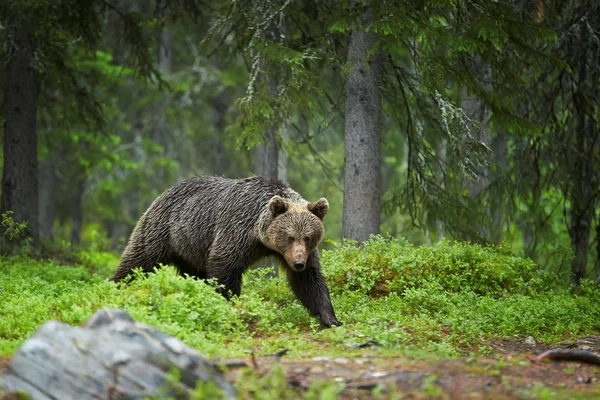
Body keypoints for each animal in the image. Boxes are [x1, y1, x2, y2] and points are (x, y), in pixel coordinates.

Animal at [109, 177, 340, 326]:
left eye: (308, 237)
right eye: (290, 236)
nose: (298, 263)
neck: (260, 237)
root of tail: (165, 192)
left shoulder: (300, 254)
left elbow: (309, 280)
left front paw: (330, 318)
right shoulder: (236, 230)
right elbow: (225, 269)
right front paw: (227, 303)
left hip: (190, 250)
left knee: (192, 274)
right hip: (164, 231)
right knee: (138, 261)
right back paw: (116, 286)